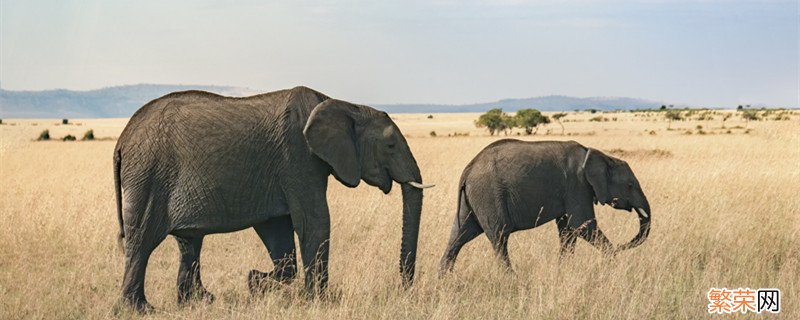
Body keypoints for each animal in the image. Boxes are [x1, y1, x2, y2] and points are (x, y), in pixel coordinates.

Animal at [114, 86, 432, 312]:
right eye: (390, 145)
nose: (403, 289)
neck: (344, 104)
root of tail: (122, 139)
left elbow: (278, 229)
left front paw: (255, 282)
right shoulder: (298, 156)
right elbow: (314, 221)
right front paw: (319, 302)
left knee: (189, 242)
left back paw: (199, 302)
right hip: (149, 176)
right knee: (142, 241)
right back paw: (141, 310)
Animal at [440, 140, 652, 272]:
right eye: (630, 185)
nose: (622, 246)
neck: (599, 155)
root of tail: (467, 170)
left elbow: (567, 231)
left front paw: (563, 270)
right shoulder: (577, 185)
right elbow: (583, 225)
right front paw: (613, 260)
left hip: (474, 199)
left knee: (458, 235)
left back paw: (444, 280)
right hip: (489, 195)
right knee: (499, 238)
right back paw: (511, 279)